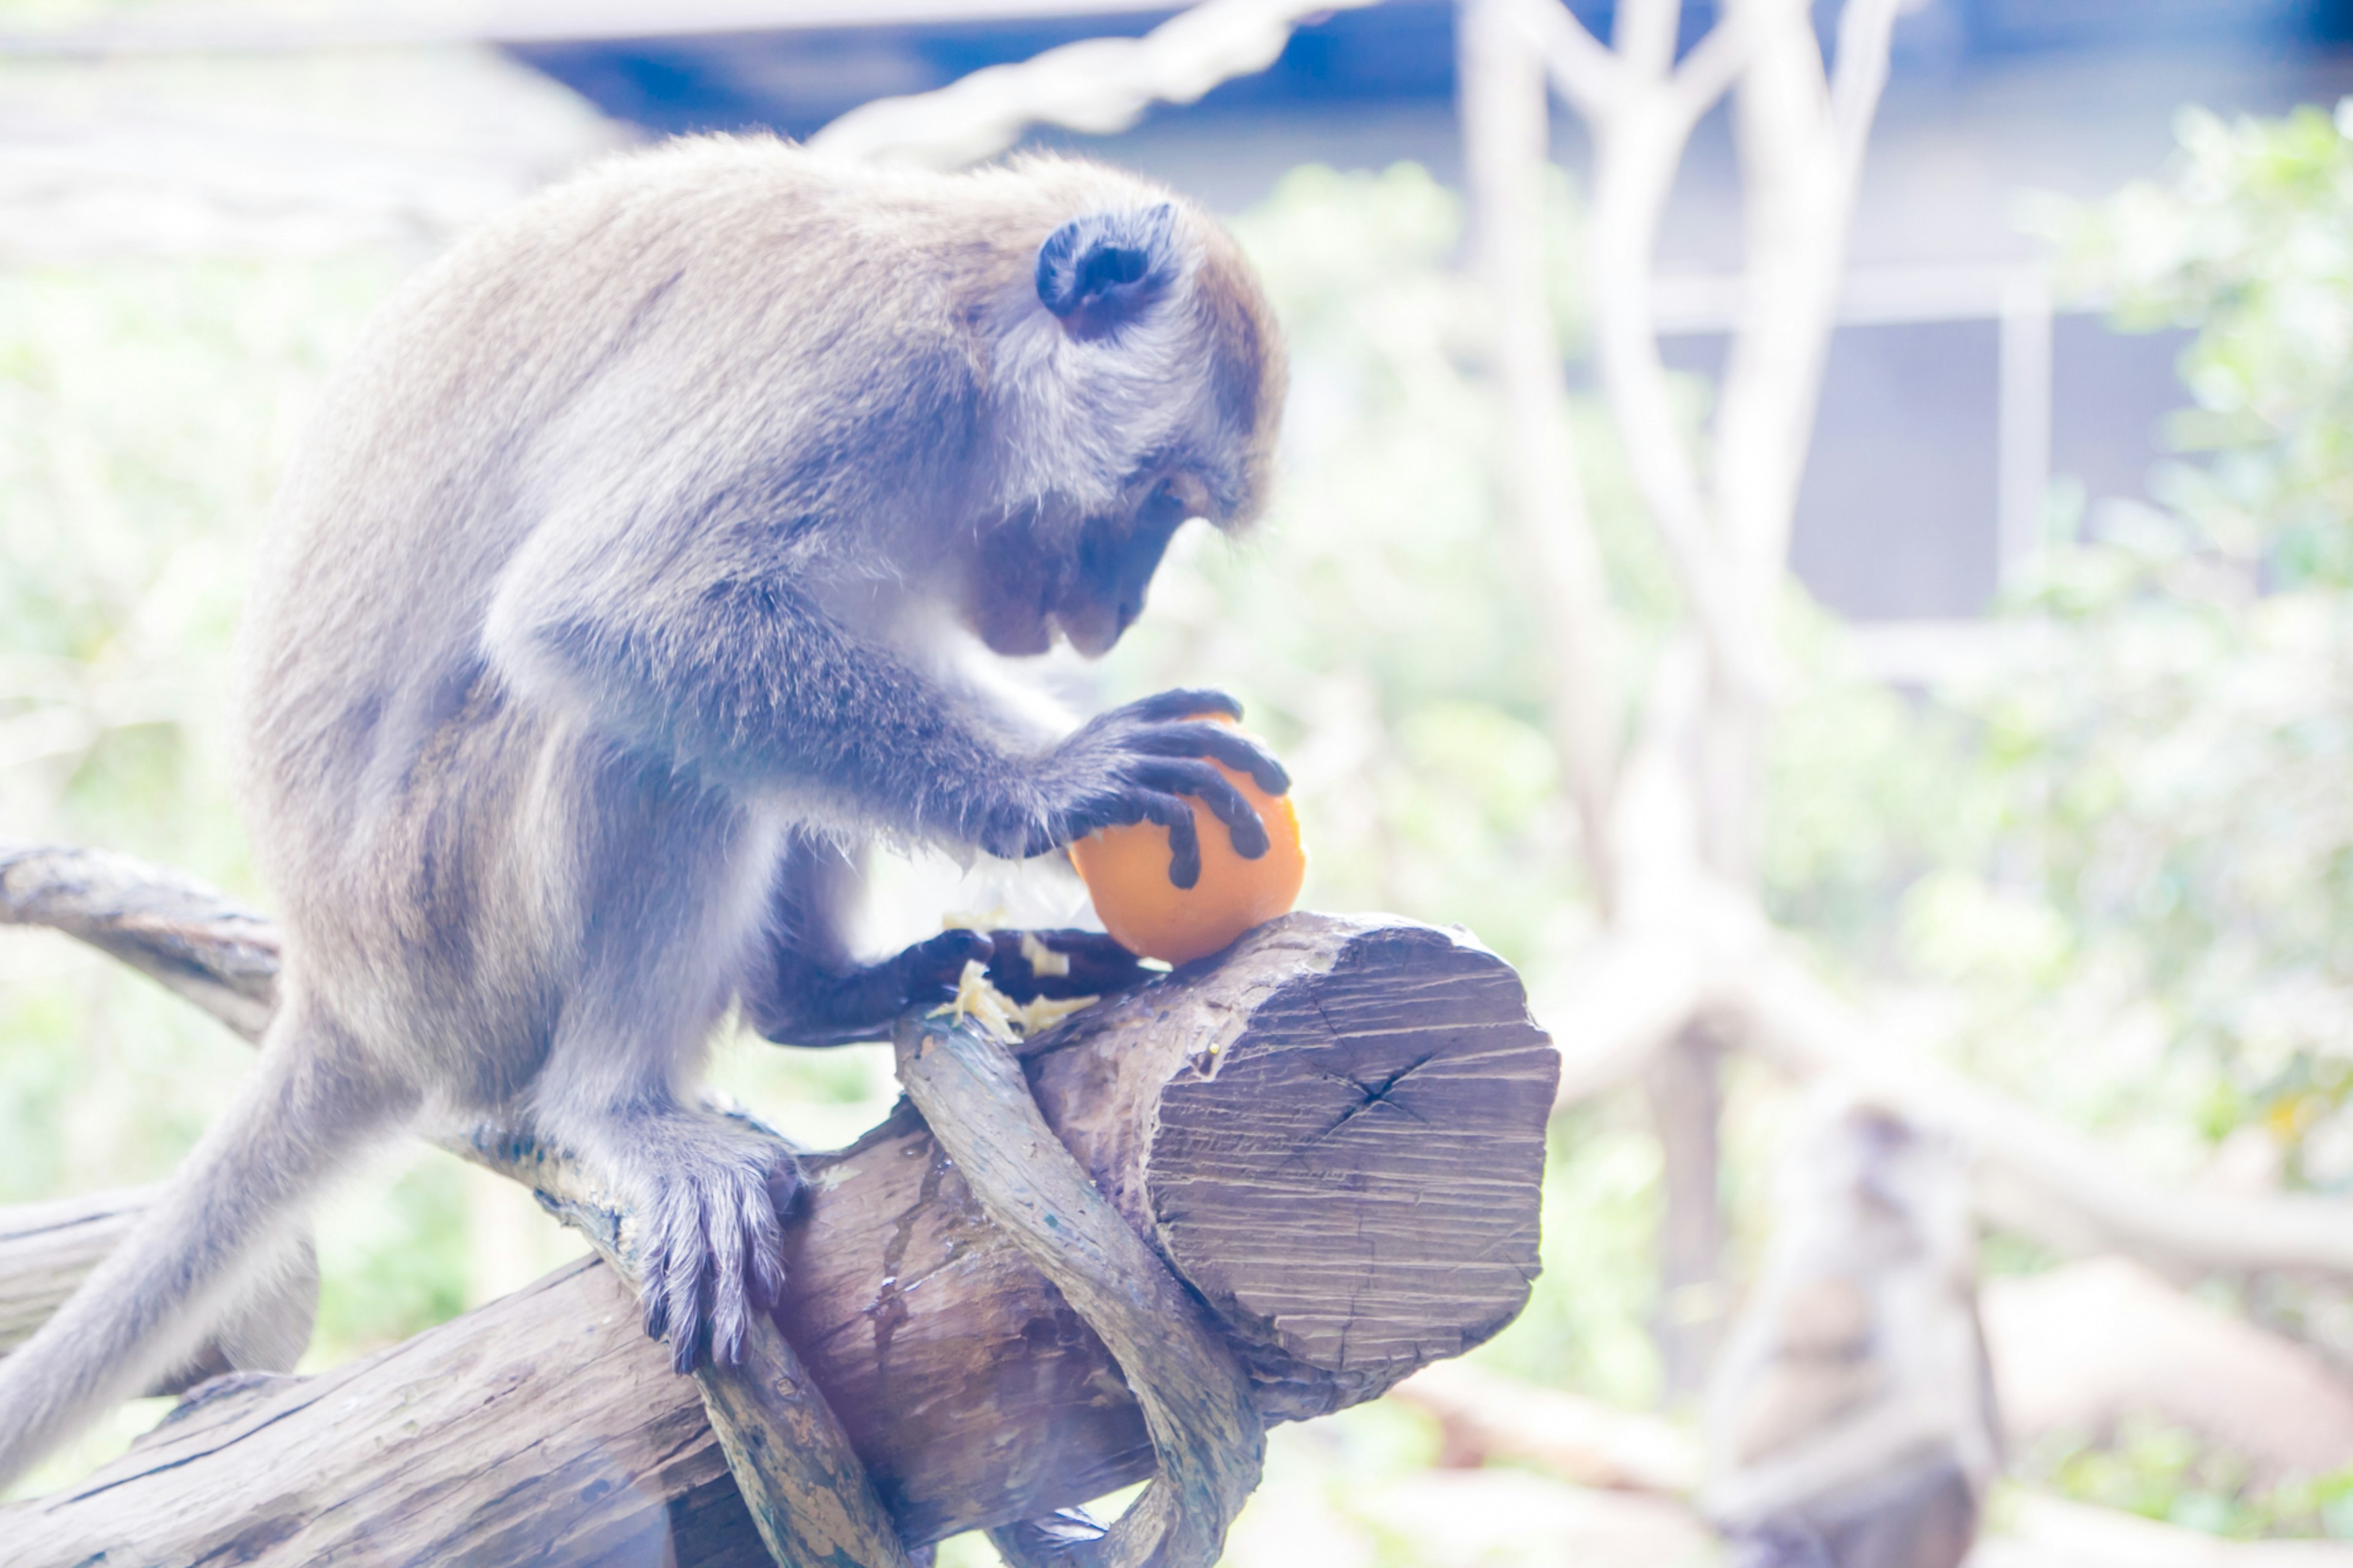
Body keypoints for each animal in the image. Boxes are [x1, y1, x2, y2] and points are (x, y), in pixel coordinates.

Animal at [0, 128, 1289, 1488]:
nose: (1114, 619)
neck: (973, 316)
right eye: (1162, 499)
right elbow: (613, 613)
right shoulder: (872, 376)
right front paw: (1060, 785)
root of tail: (339, 989)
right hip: (446, 930)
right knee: (627, 724)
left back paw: (817, 991)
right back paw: (618, 1104)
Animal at [1703, 1088, 1995, 1563]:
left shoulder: (1930, 1262)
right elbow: (1743, 1368)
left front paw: (1748, 1500)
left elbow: (1928, 1417)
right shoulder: (1808, 1240)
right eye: (1861, 1136)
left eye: (1892, 1141)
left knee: (1944, 1472)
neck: (1870, 1229)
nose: (1869, 1160)